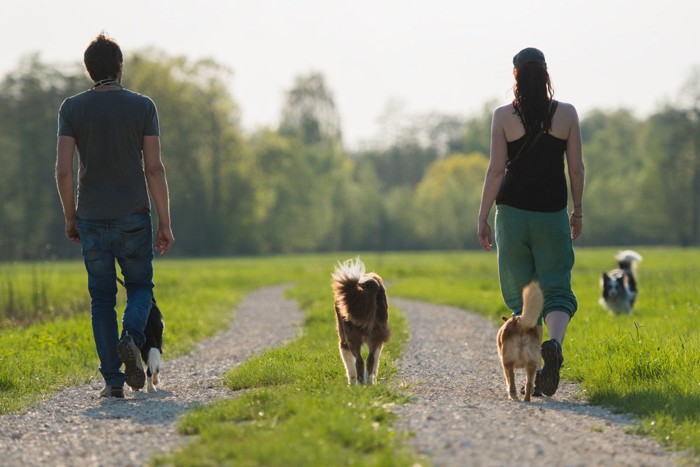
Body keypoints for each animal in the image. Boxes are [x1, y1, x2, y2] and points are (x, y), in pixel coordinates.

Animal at [332, 258, 392, 386]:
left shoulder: (343, 342)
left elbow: (350, 367)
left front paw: (351, 384)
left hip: (351, 336)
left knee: (359, 361)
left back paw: (360, 384)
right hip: (376, 334)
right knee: (370, 359)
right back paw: (369, 383)